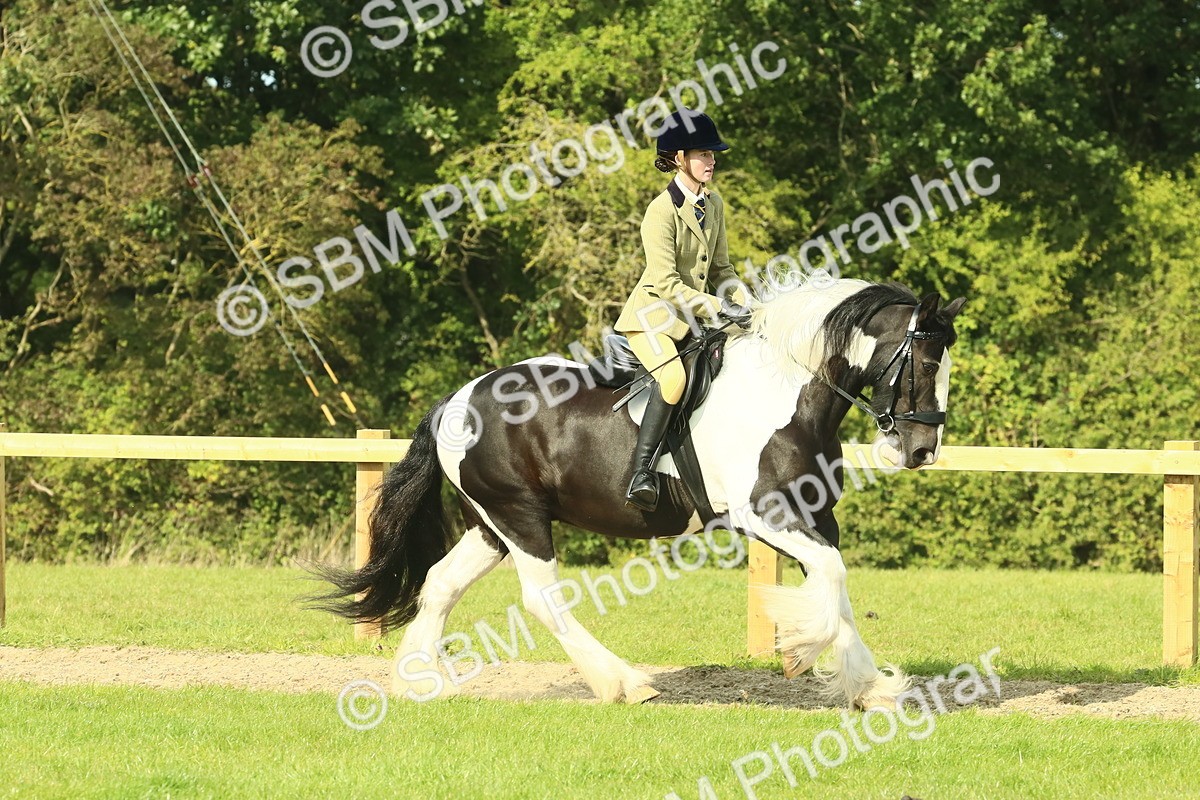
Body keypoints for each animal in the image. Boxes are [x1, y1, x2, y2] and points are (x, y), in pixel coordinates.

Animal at [310, 275, 966, 709]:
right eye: (922, 361)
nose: (921, 451)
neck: (788, 394)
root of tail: (456, 400)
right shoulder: (766, 517)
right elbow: (831, 580)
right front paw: (809, 647)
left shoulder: (813, 517)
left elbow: (837, 588)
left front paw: (870, 686)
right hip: (519, 517)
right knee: (542, 599)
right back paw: (624, 683)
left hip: (490, 524)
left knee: (440, 583)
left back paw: (419, 682)